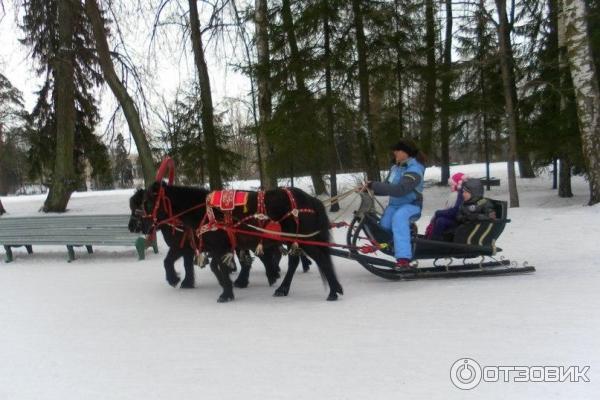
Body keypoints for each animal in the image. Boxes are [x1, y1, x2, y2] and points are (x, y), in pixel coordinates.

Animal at [137, 183, 342, 302]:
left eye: (148, 202)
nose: (141, 225)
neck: (204, 210)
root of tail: (310, 199)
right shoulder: (220, 247)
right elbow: (217, 267)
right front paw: (227, 288)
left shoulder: (218, 246)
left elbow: (218, 266)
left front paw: (225, 292)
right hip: (293, 240)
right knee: (296, 261)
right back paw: (283, 288)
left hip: (304, 239)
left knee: (321, 260)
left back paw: (332, 291)